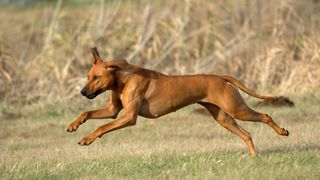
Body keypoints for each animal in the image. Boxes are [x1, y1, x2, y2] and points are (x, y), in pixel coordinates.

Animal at [66, 47, 288, 156]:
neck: (123, 78)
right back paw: (253, 156)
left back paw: (282, 131)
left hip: (236, 109)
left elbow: (102, 127)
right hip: (224, 118)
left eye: (97, 77)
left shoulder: (129, 117)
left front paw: (87, 139)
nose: (83, 92)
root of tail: (220, 77)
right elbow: (88, 114)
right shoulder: (113, 110)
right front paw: (74, 124)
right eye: (88, 76)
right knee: (246, 134)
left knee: (265, 116)